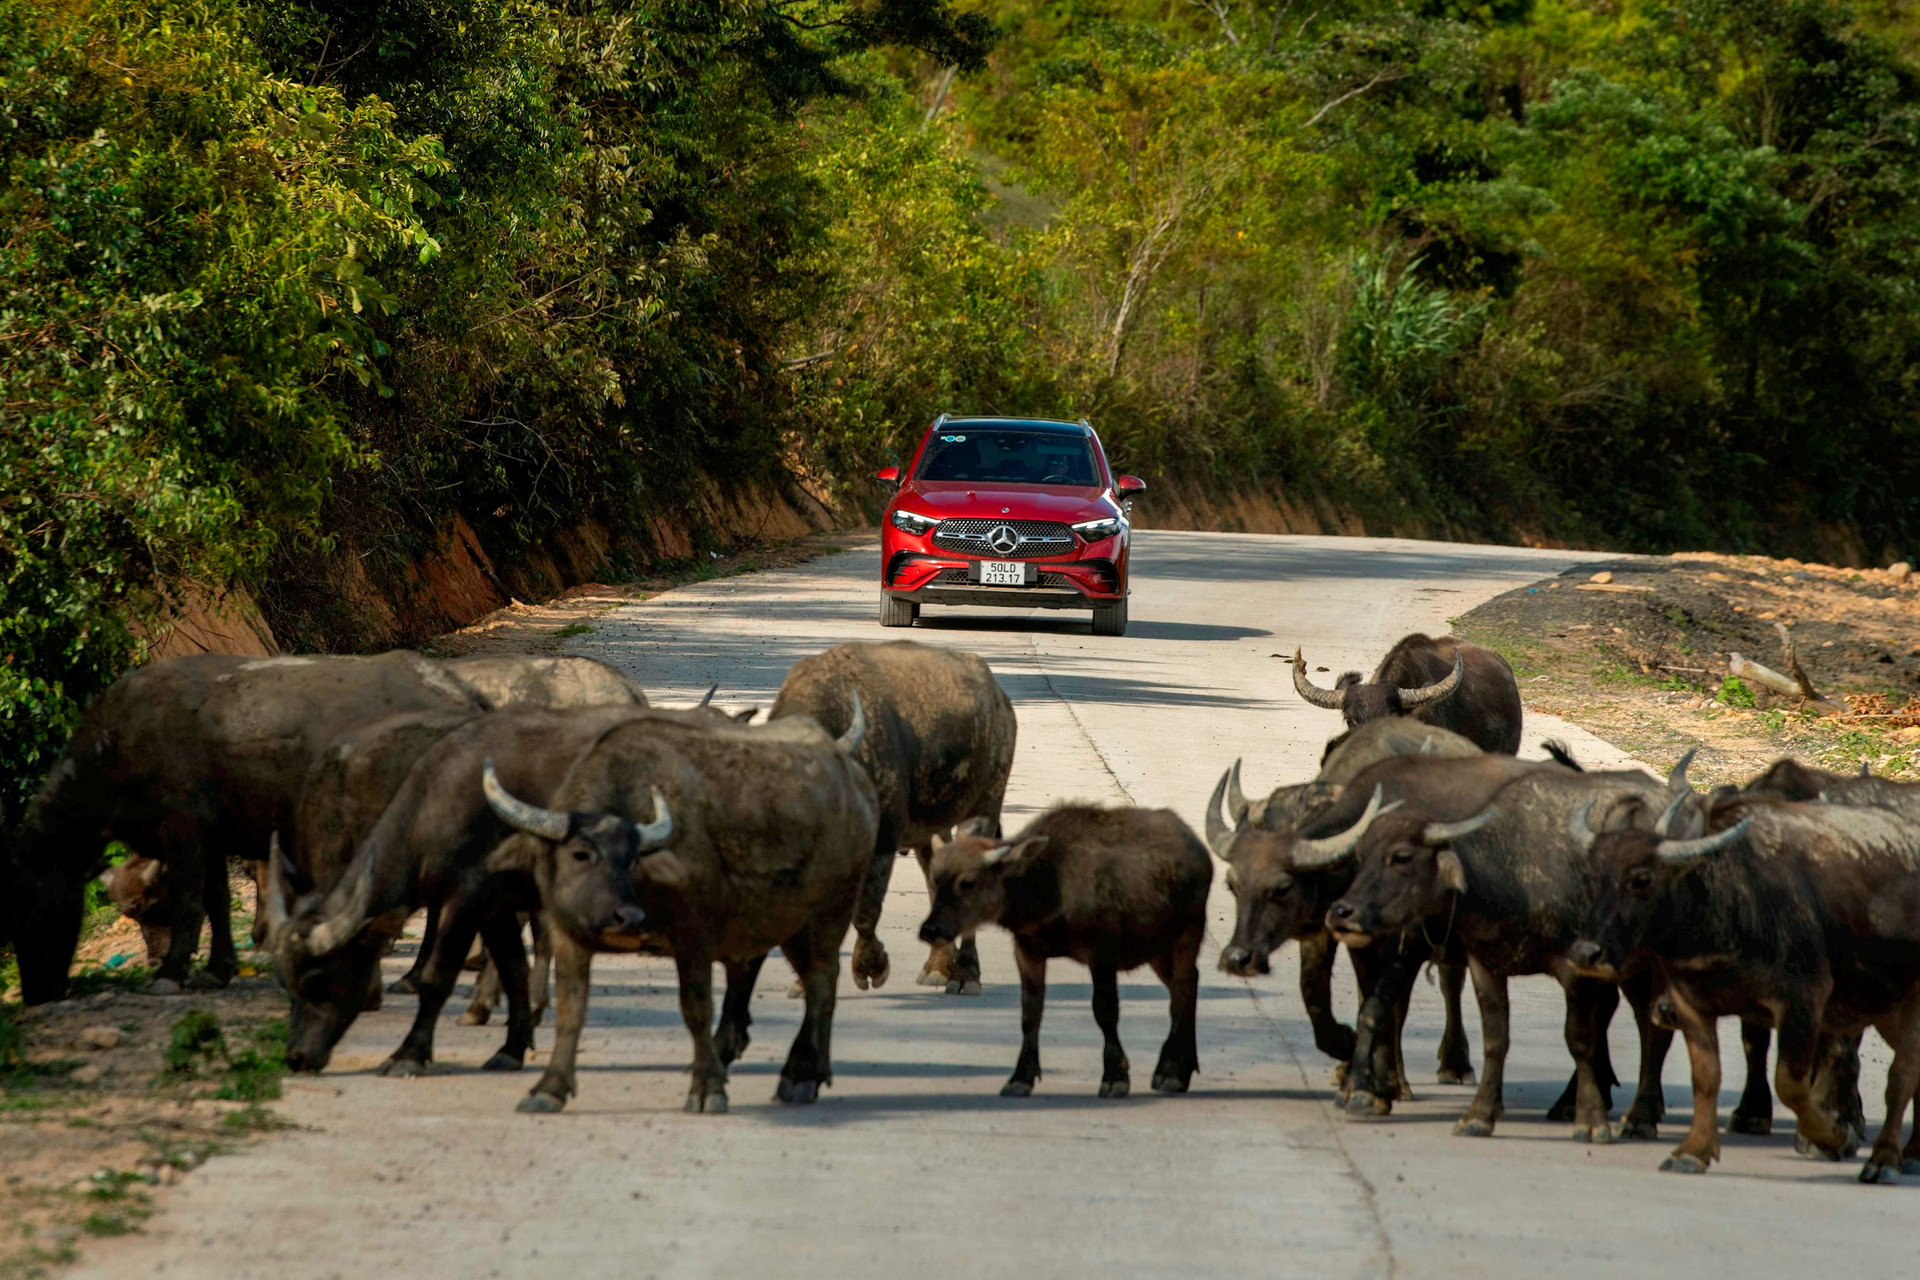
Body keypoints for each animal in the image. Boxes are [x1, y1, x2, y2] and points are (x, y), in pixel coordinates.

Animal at [480, 702, 879, 1113]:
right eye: (580, 854)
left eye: (633, 859)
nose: (627, 918)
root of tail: (856, 784)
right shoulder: (568, 936)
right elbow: (570, 1012)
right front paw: (549, 1088)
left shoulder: (695, 937)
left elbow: (696, 1009)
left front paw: (707, 1087)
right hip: (788, 922)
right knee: (814, 981)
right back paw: (815, 1071)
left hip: (829, 912)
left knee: (821, 983)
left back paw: (799, 1075)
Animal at [768, 644, 1021, 997]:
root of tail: (1001, 700)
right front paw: (804, 981)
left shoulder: (883, 842)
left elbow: (866, 911)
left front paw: (870, 967)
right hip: (931, 828)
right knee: (936, 879)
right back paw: (938, 967)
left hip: (985, 804)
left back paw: (965, 974)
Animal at [910, 809, 1198, 1105]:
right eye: (935, 878)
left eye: (968, 882)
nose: (930, 930)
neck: (1048, 882)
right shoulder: (1028, 952)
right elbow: (1030, 1013)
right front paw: (1020, 1078)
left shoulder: (1102, 954)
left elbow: (1105, 1011)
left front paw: (1114, 1077)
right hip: (1158, 950)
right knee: (1187, 987)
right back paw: (1182, 1068)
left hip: (1187, 937)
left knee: (1181, 992)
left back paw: (1170, 1072)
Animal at [1566, 802, 1920, 1182]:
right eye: (1597, 876)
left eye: (1642, 878)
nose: (1585, 953)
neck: (1732, 905)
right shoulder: (1690, 1006)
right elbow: (1705, 1079)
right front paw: (1693, 1152)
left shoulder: (1802, 1002)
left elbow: (1790, 1086)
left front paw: (1838, 1137)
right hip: (1885, 1008)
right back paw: (1911, 1154)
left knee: (1901, 1079)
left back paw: (1884, 1160)